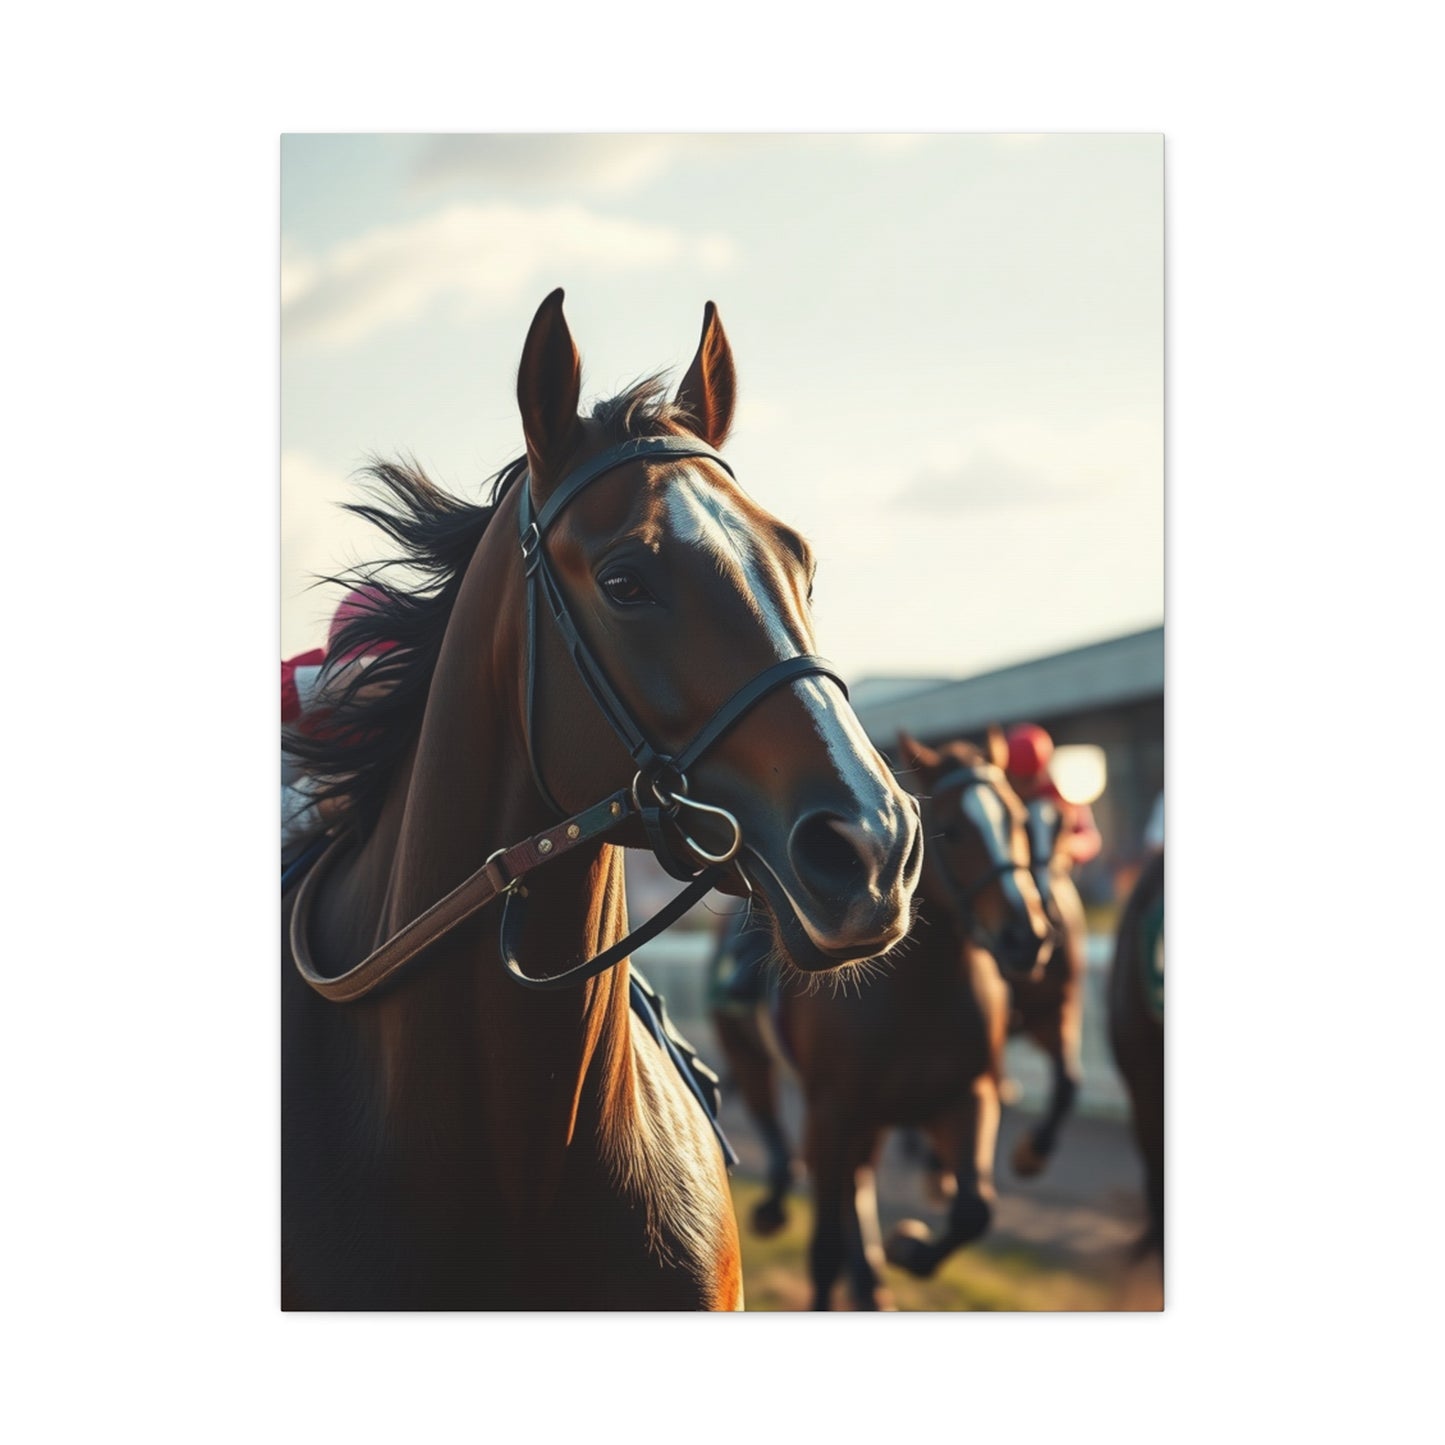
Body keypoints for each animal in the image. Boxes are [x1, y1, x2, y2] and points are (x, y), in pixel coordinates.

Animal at [709, 729, 1052, 1309]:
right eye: (954, 830)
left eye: (1016, 819)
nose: (1025, 937)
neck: (919, 996)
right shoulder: (832, 1110)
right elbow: (824, 1242)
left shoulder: (966, 1095)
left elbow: (974, 1209)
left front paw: (907, 1247)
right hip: (748, 1052)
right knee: (772, 1119)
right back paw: (778, 1205)